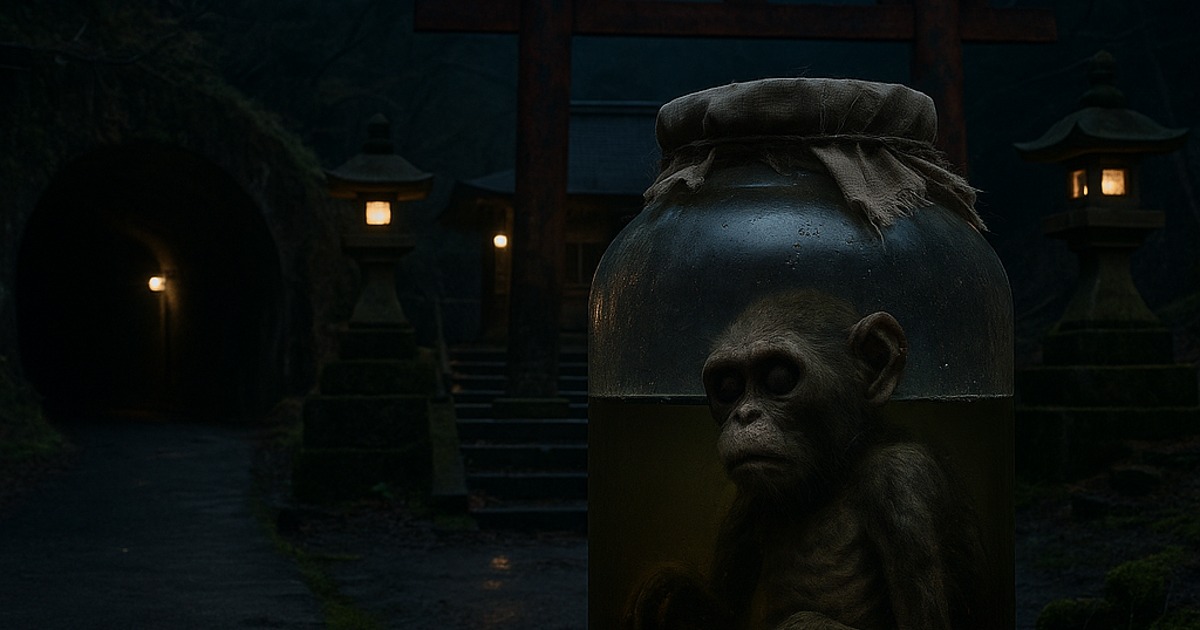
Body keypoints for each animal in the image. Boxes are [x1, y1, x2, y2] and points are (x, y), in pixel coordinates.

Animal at [623, 289, 997, 630]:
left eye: (779, 378)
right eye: (728, 386)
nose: (744, 415)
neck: (833, 478)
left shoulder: (902, 481)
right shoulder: (747, 502)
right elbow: (724, 612)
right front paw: (672, 592)